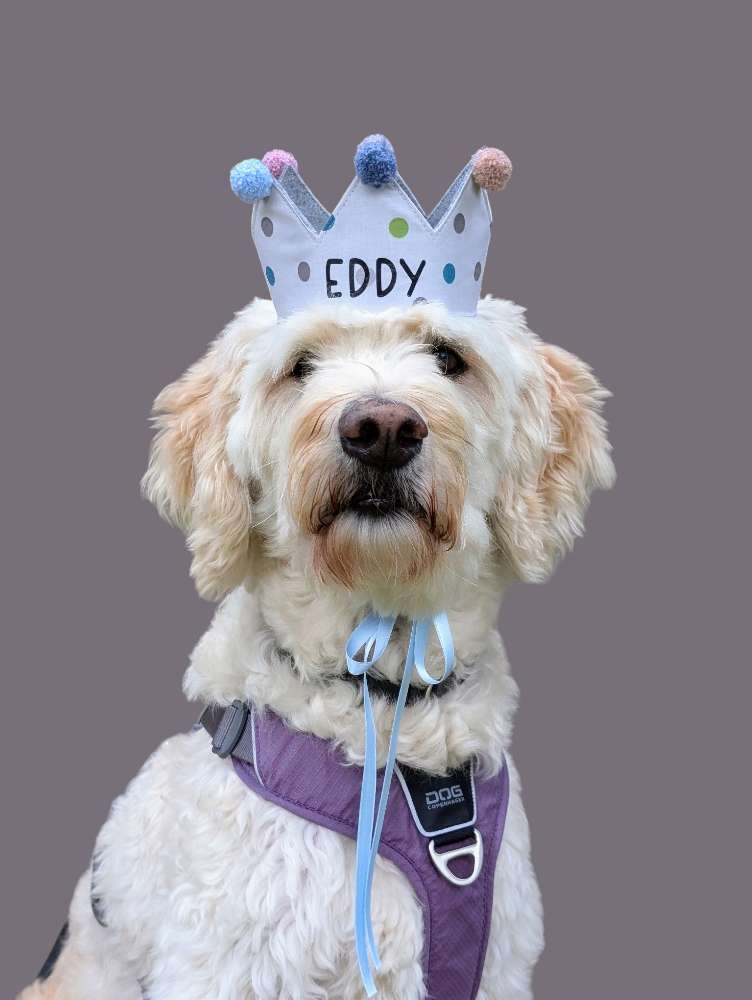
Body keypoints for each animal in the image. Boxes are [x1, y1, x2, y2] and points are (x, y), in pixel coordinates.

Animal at [20, 295, 614, 999]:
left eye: (449, 357)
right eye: (301, 365)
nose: (382, 429)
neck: (383, 707)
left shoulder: (495, 964)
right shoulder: (232, 962)